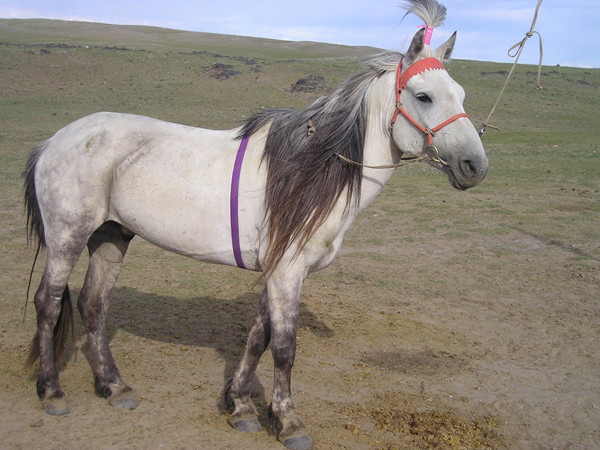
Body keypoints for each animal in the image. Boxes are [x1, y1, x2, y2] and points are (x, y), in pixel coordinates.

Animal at [25, 5, 488, 448]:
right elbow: (283, 347)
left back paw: (113, 386)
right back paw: (51, 391)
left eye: (462, 94)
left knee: (93, 304)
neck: (310, 170)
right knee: (48, 303)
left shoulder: (279, 269)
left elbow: (257, 338)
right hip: (67, 236)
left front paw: (241, 405)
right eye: (423, 96)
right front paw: (287, 420)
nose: (476, 166)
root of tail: (55, 140)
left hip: (111, 235)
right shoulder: (286, 271)